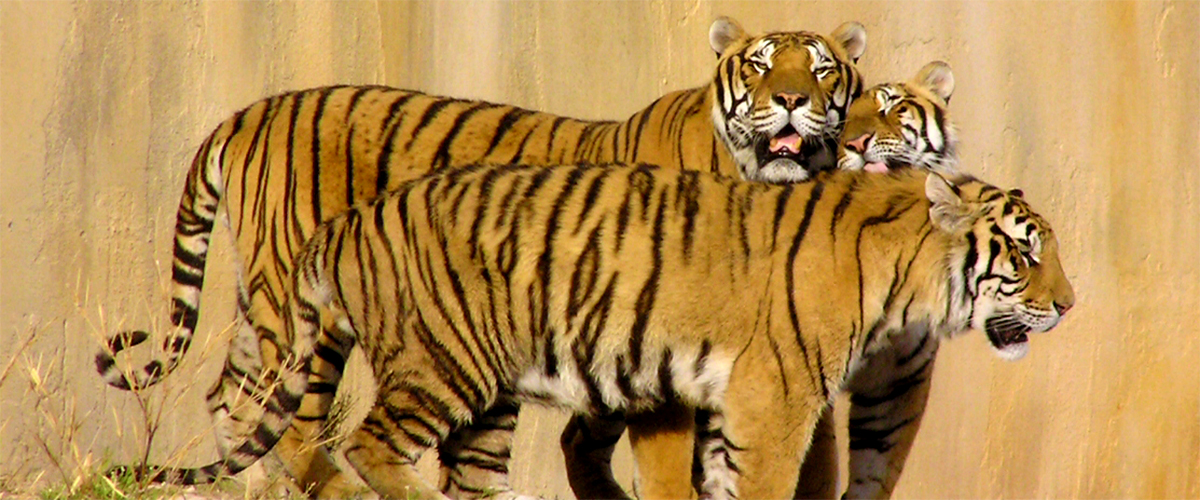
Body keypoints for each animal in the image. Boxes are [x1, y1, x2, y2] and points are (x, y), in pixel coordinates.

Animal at [93, 16, 867, 498]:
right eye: (760, 66)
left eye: (823, 69)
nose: (791, 99)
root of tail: (246, 113)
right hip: (306, 307)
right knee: (286, 417)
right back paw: (332, 489)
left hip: (265, 304)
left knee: (233, 398)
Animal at [110, 163, 1075, 500]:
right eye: (1027, 253)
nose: (1069, 305)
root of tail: (347, 222)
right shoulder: (775, 398)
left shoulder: (728, 404)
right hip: (445, 361)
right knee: (367, 446)